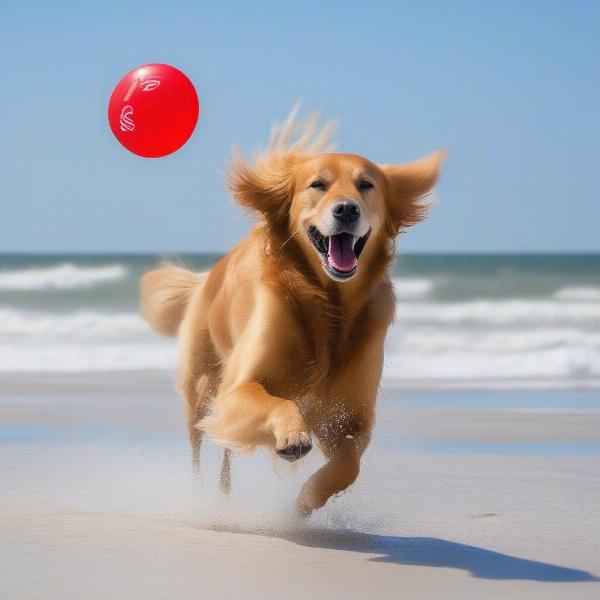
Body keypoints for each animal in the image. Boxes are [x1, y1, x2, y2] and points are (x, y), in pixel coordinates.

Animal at [138, 109, 442, 516]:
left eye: (366, 185)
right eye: (318, 185)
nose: (346, 209)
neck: (328, 306)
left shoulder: (351, 415)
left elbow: (349, 463)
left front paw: (308, 499)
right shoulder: (237, 388)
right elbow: (278, 402)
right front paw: (293, 436)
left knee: (226, 451)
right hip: (199, 387)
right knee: (198, 446)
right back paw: (199, 496)